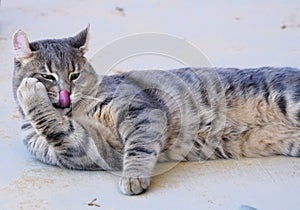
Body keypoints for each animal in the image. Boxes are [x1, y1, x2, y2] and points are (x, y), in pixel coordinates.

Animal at [12, 25, 300, 195]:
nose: (66, 93)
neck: (74, 112)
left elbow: (139, 148)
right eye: (47, 76)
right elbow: (60, 131)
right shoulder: (89, 150)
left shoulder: (141, 111)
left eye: (75, 75)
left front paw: (133, 178)